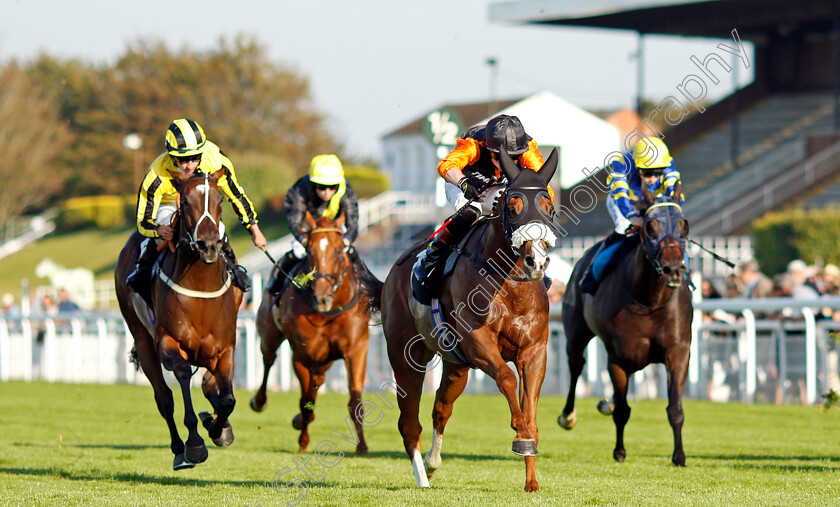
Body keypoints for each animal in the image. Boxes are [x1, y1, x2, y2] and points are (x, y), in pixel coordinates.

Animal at [115, 172, 241, 472]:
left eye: (220, 199)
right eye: (184, 200)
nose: (209, 245)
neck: (201, 288)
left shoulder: (225, 349)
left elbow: (228, 400)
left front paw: (218, 428)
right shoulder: (168, 344)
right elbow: (183, 376)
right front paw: (194, 444)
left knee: (208, 386)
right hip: (142, 340)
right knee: (164, 398)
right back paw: (178, 449)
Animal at [248, 212, 376, 454]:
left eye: (339, 250)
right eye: (310, 250)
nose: (322, 297)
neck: (328, 313)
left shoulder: (357, 349)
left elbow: (355, 401)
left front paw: (363, 447)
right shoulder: (302, 355)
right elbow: (306, 401)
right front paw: (303, 441)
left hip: (324, 360)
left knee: (317, 380)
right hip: (270, 334)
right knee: (269, 360)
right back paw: (259, 401)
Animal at [368, 148, 556, 492]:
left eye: (548, 207)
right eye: (513, 207)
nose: (536, 261)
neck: (510, 286)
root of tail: (391, 275)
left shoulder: (534, 351)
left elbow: (531, 410)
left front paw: (532, 479)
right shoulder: (478, 343)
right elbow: (507, 380)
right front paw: (521, 438)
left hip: (456, 365)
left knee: (441, 408)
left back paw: (432, 463)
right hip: (405, 357)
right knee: (409, 423)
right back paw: (422, 479)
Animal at [560, 185, 692, 466]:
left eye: (684, 226)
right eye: (651, 227)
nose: (674, 270)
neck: (650, 300)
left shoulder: (678, 351)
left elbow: (675, 409)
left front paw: (679, 456)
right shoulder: (618, 357)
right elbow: (622, 410)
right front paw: (619, 452)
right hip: (576, 331)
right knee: (576, 364)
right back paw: (568, 416)